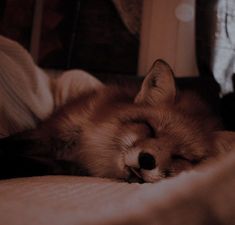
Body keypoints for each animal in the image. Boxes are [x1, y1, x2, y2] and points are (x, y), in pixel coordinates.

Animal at [0, 59, 224, 182]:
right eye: (150, 128)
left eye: (181, 157)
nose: (147, 160)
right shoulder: (50, 133)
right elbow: (12, 143)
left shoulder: (70, 167)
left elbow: (31, 164)